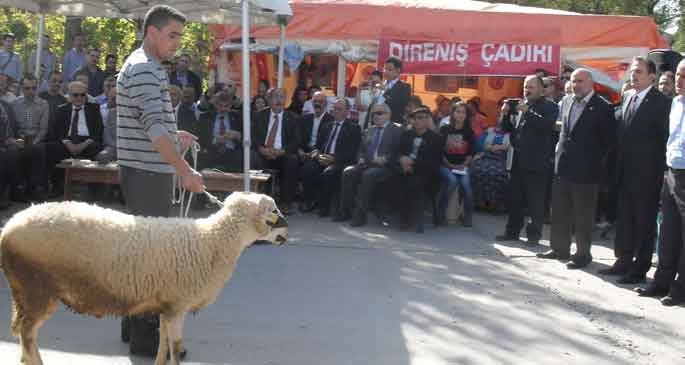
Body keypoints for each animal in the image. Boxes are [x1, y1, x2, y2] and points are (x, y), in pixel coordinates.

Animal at [0, 192, 288, 362]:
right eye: (273, 211)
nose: (286, 233)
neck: (213, 241)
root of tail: (9, 227)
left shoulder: (166, 306)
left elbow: (163, 345)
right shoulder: (178, 305)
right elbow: (175, 348)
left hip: (25, 292)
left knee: (24, 334)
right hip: (37, 288)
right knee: (27, 334)